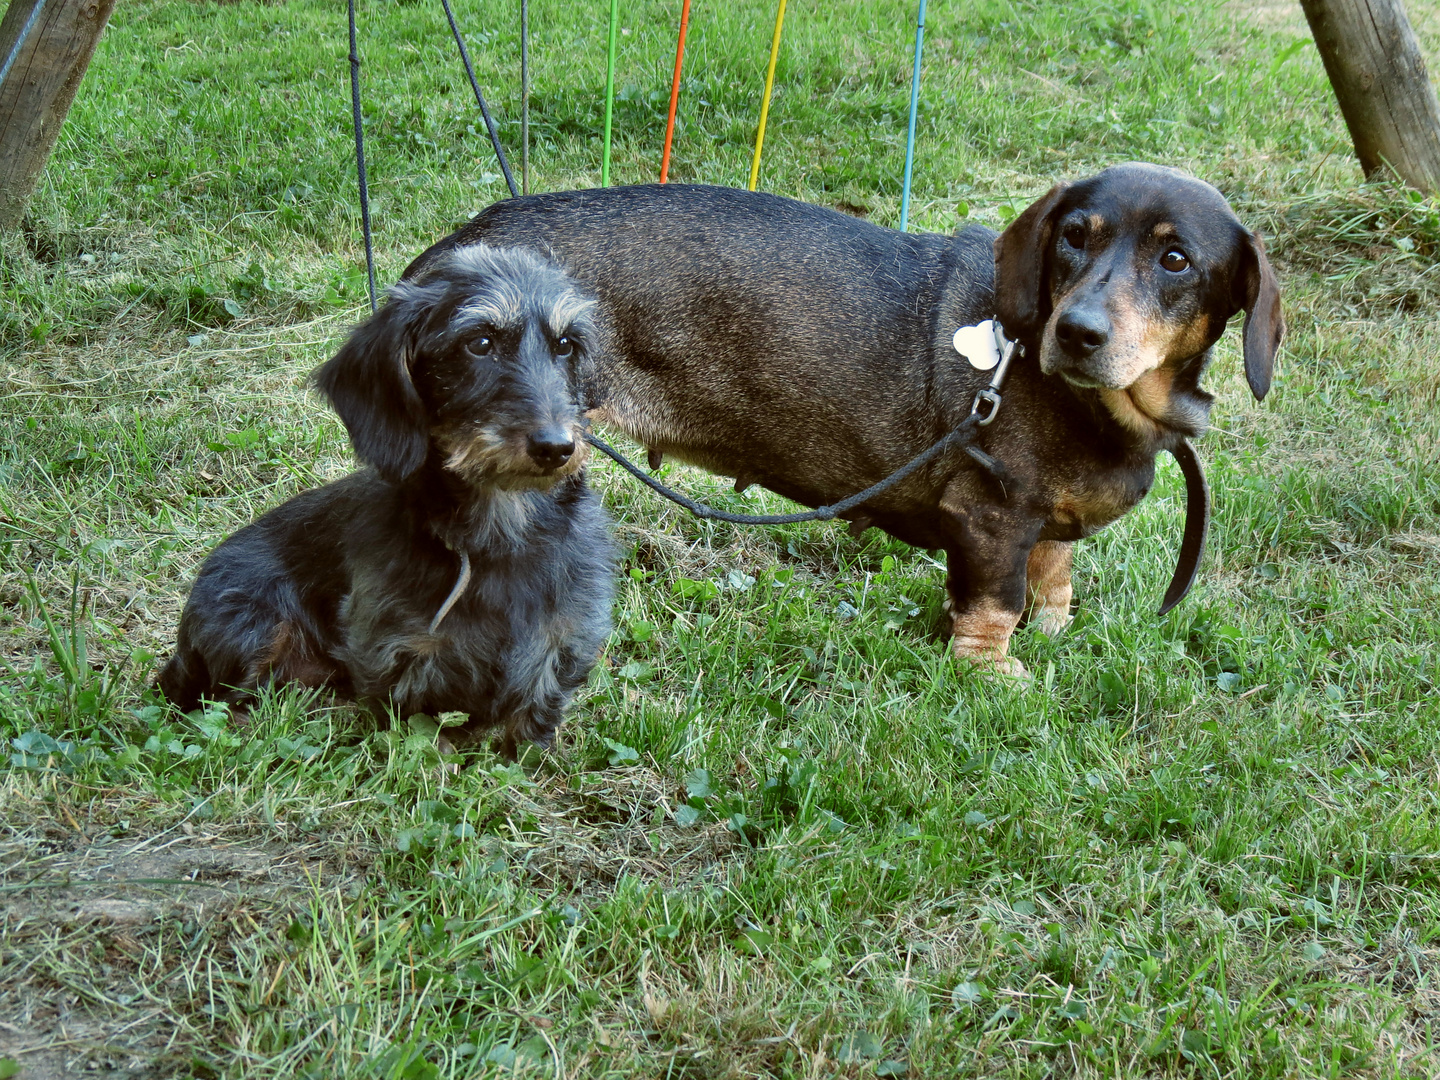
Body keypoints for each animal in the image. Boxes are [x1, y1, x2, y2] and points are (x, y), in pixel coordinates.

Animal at [406, 164, 1284, 676]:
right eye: (1074, 236)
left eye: (1176, 259)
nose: (1077, 334)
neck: (1097, 407)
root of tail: (459, 250)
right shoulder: (991, 517)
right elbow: (996, 604)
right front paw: (995, 678)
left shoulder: (1043, 526)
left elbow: (1053, 580)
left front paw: (1056, 636)